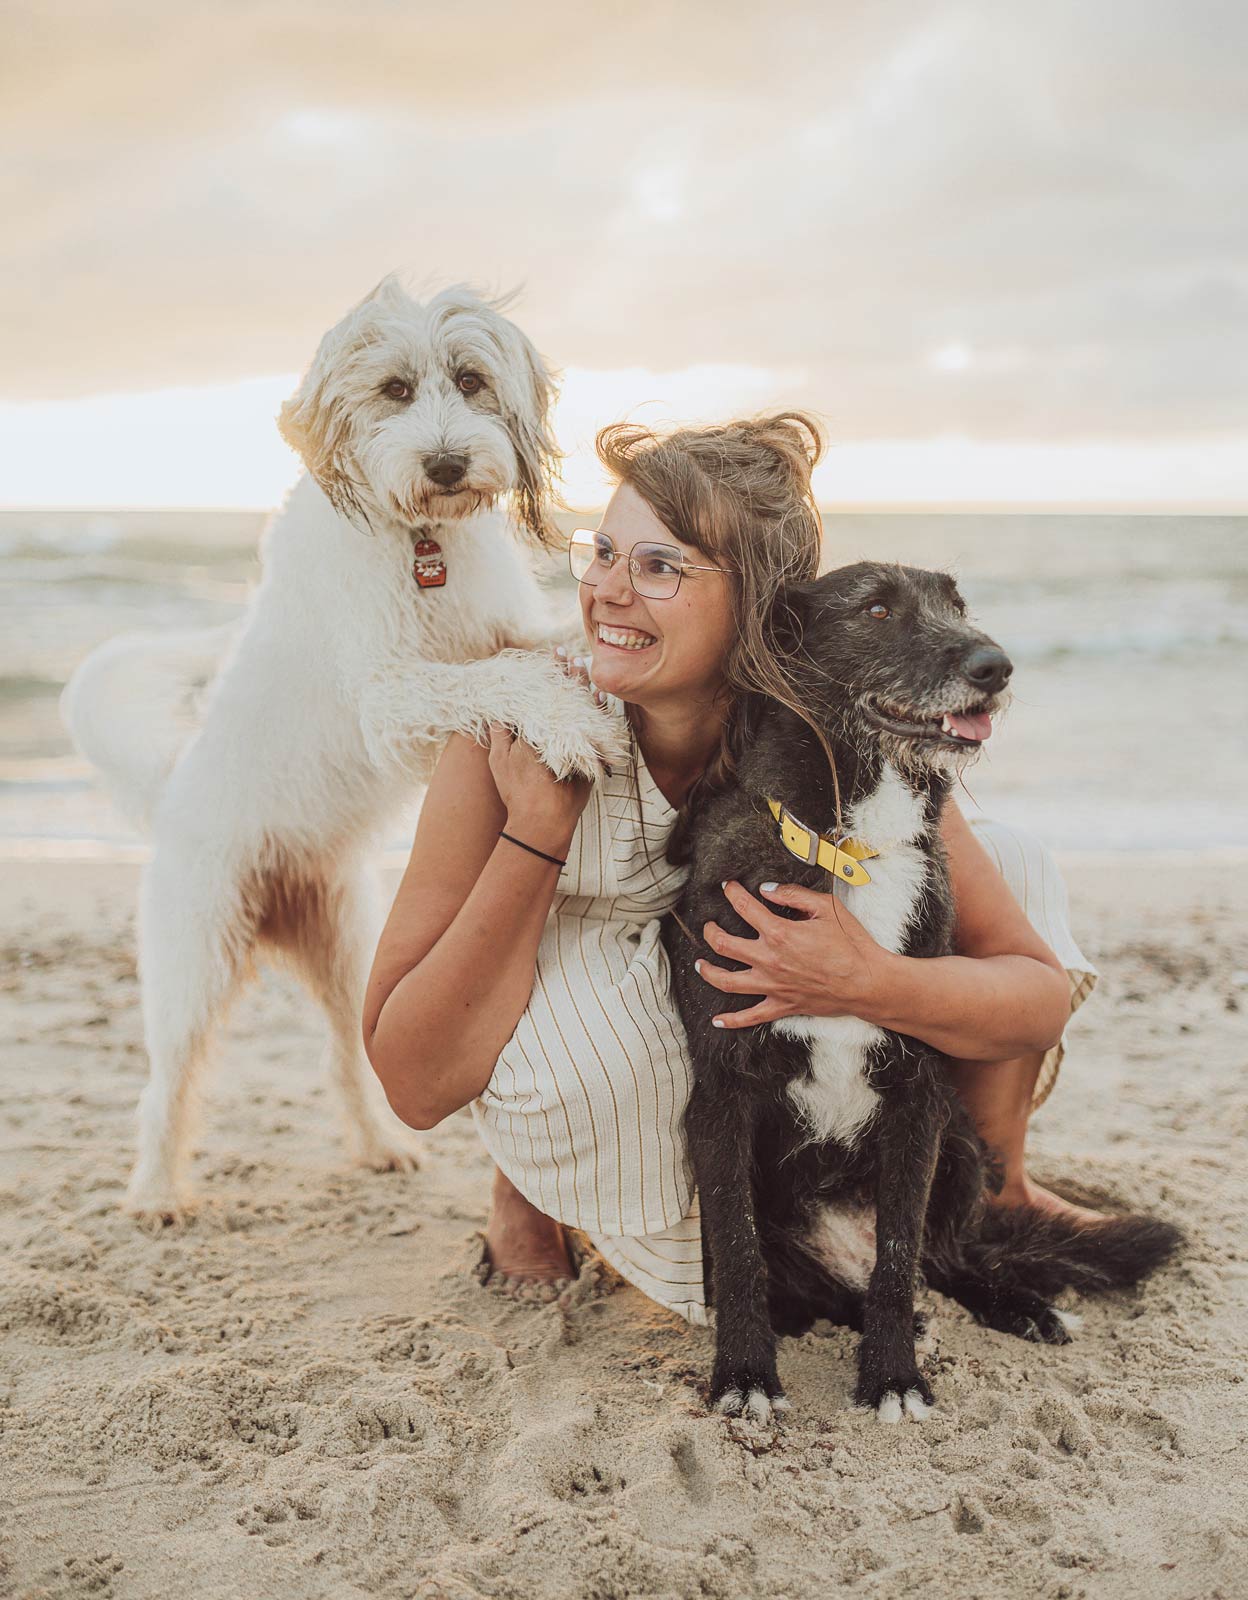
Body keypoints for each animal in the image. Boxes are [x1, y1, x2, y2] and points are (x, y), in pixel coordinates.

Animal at [60, 278, 624, 1222]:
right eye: (394, 389)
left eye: (470, 380)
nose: (445, 466)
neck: (419, 540)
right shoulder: (391, 697)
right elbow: (497, 676)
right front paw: (571, 721)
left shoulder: (501, 625)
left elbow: (533, 645)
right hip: (194, 956)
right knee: (167, 1081)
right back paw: (157, 1192)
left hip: (348, 943)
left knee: (346, 1056)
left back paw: (379, 1147)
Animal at [662, 563, 1177, 1427]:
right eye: (876, 609)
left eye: (957, 604)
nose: (995, 667)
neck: (854, 845)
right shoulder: (722, 1097)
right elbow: (736, 1251)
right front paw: (745, 1373)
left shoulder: (917, 1100)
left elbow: (899, 1257)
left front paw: (893, 1376)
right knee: (813, 1284)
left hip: (961, 1145)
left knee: (946, 1260)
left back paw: (1018, 1306)